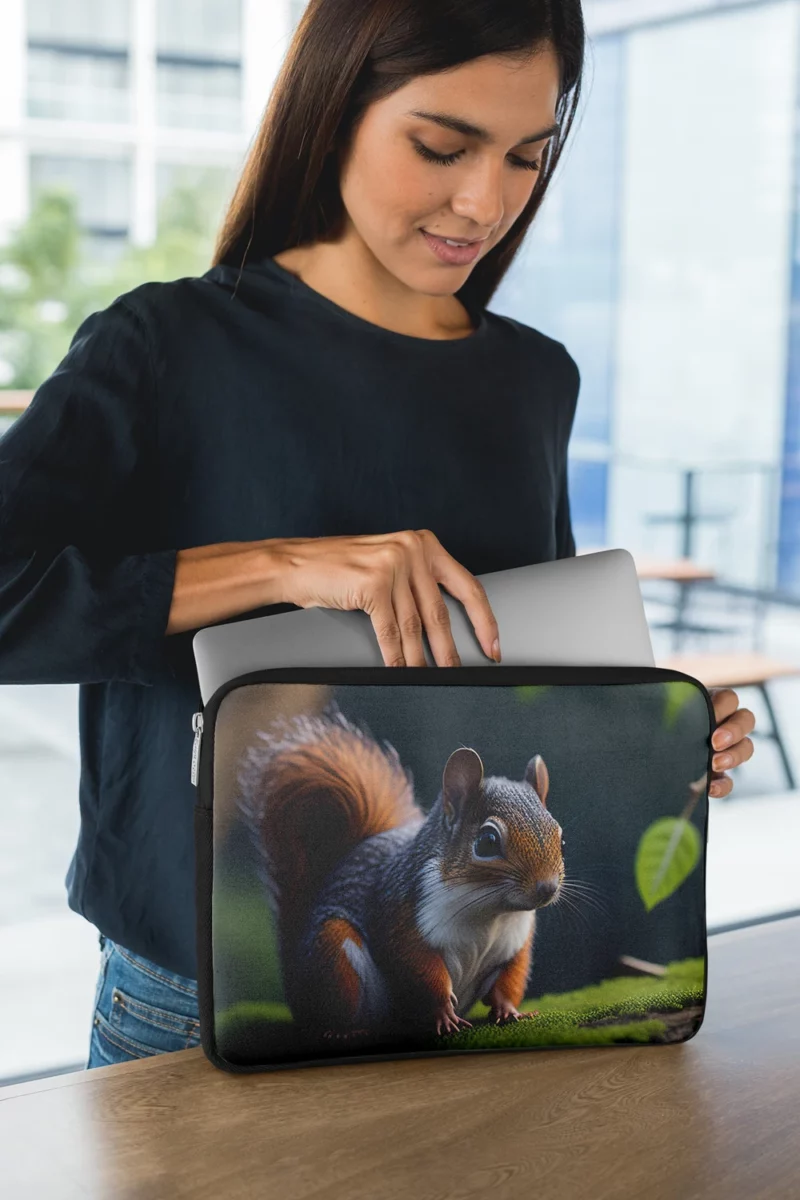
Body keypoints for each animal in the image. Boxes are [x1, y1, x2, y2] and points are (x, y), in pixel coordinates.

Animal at [235, 700, 566, 1046]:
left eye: (560, 837)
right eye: (487, 842)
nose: (547, 887)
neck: (489, 912)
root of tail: (296, 989)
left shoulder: (515, 944)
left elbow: (508, 981)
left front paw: (510, 1011)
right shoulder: (403, 913)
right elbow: (421, 969)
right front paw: (444, 1015)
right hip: (333, 954)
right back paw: (343, 1030)